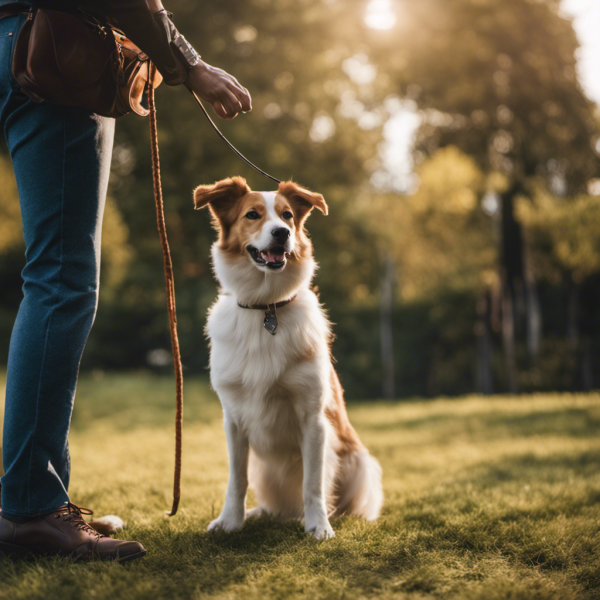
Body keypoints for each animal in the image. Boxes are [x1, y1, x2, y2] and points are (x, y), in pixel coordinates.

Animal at [195, 176, 382, 536]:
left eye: (287, 215)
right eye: (252, 215)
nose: (282, 233)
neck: (266, 308)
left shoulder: (313, 418)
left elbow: (313, 483)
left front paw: (319, 526)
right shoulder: (233, 421)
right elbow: (236, 480)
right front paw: (230, 522)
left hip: (358, 461)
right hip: (264, 468)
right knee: (275, 506)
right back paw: (259, 513)